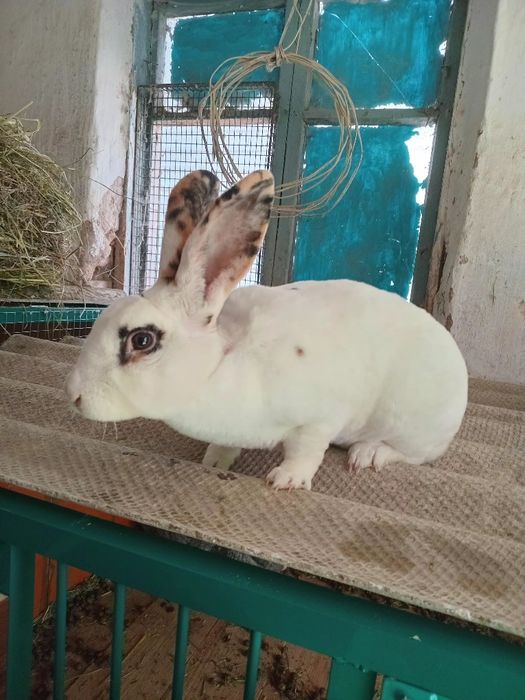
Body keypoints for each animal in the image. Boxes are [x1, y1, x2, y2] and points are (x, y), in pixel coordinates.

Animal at [66, 168, 468, 490]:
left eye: (142, 340)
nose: (74, 396)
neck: (219, 365)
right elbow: (227, 445)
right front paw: (215, 459)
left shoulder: (318, 419)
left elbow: (307, 451)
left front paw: (287, 480)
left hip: (413, 425)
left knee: (413, 454)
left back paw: (367, 454)